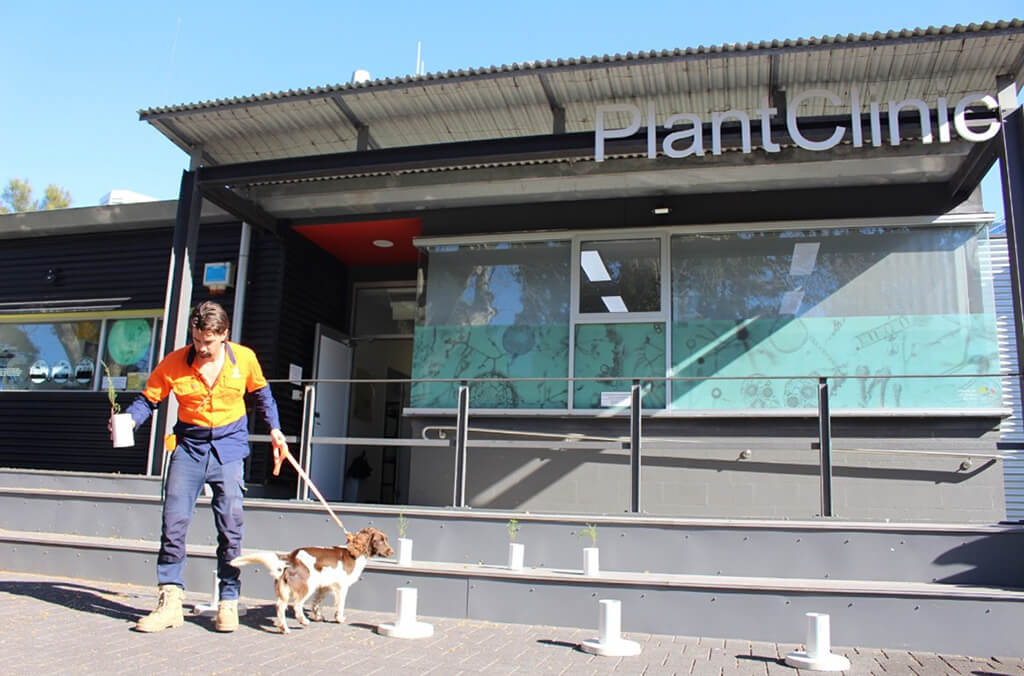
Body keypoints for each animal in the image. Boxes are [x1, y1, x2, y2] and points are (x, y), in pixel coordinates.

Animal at [231, 524, 391, 630]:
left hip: (286, 588)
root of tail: (292, 557)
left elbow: (317, 603)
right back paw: (303, 621)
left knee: (280, 606)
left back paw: (284, 628)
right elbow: (339, 605)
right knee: (296, 605)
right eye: (380, 540)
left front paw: (318, 616)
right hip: (306, 585)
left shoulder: (324, 586)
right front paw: (339, 619)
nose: (392, 551)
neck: (354, 553)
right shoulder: (341, 587)